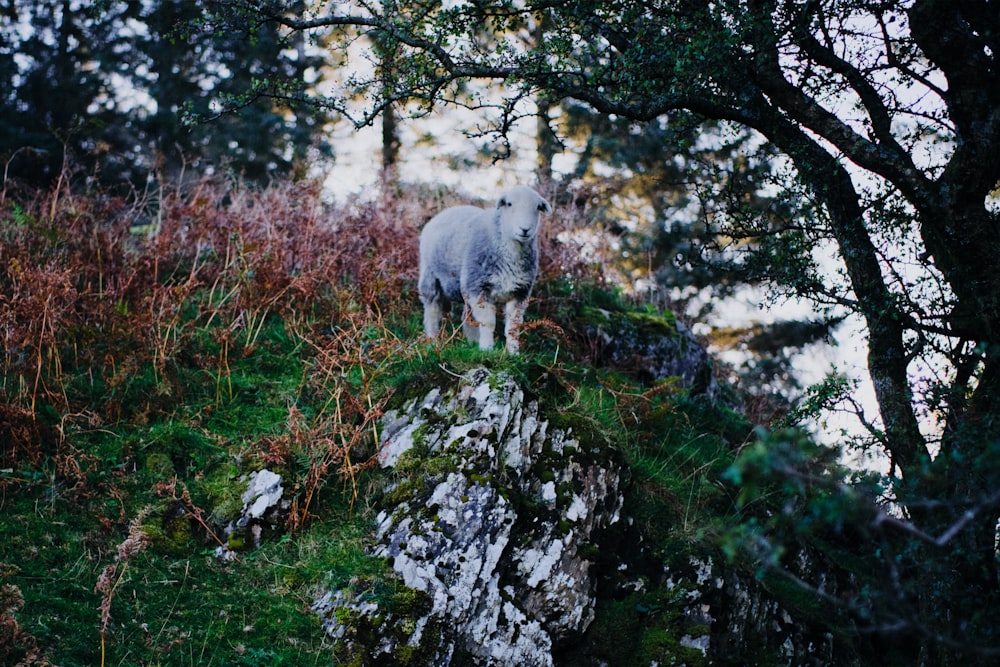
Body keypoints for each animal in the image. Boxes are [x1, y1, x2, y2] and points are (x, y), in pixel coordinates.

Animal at [416, 185, 552, 354]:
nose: (525, 229)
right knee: (432, 309)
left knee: (467, 316)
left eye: (538, 207)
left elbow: (513, 326)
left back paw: (472, 343)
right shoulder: (478, 287)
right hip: (431, 277)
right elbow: (488, 322)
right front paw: (487, 349)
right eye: (509, 204)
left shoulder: (520, 293)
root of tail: (447, 210)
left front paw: (513, 353)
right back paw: (433, 339)